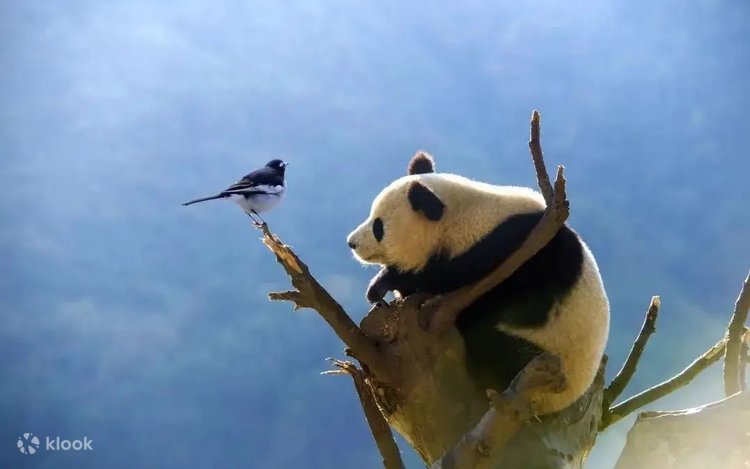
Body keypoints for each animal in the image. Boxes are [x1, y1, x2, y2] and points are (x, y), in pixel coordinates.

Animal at [346, 151, 610, 415]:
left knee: (492, 345)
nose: (352, 242)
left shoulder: (514, 248)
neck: (462, 216)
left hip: (550, 357)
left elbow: (449, 279)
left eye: (378, 226)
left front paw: (386, 281)